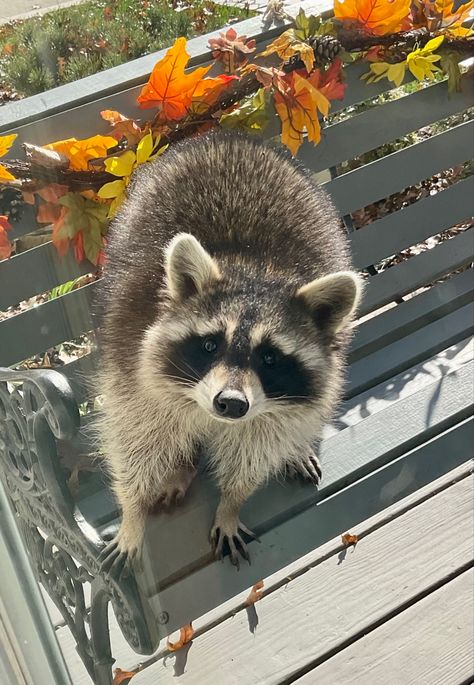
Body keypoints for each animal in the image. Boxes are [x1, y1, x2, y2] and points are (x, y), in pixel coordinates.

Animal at [98, 130, 362, 572]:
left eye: (269, 358)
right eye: (209, 345)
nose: (232, 404)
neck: (253, 268)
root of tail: (227, 135)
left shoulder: (270, 410)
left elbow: (254, 450)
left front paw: (231, 503)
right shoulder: (131, 360)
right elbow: (135, 441)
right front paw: (132, 513)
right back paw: (180, 468)